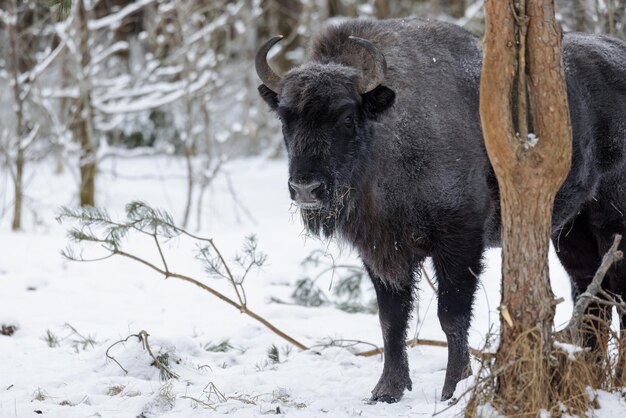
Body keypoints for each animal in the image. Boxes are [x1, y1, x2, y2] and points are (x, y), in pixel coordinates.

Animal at [254, 18, 624, 404]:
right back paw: (591, 374)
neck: (392, 131)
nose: (305, 188)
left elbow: (451, 314)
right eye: (285, 117)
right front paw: (386, 390)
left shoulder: (459, 242)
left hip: (611, 221)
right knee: (591, 296)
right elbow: (391, 319)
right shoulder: (382, 254)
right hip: (570, 231)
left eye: (345, 116)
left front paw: (454, 388)